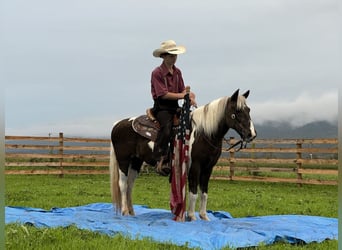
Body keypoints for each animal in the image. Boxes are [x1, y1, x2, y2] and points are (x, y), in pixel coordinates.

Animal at [109, 89, 256, 221]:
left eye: (248, 110)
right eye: (236, 111)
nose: (251, 134)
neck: (203, 132)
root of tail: (118, 124)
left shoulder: (208, 168)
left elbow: (204, 193)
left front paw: (204, 216)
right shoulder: (195, 167)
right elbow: (193, 192)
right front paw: (191, 216)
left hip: (136, 162)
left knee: (130, 185)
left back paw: (132, 212)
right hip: (123, 160)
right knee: (123, 184)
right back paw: (124, 211)